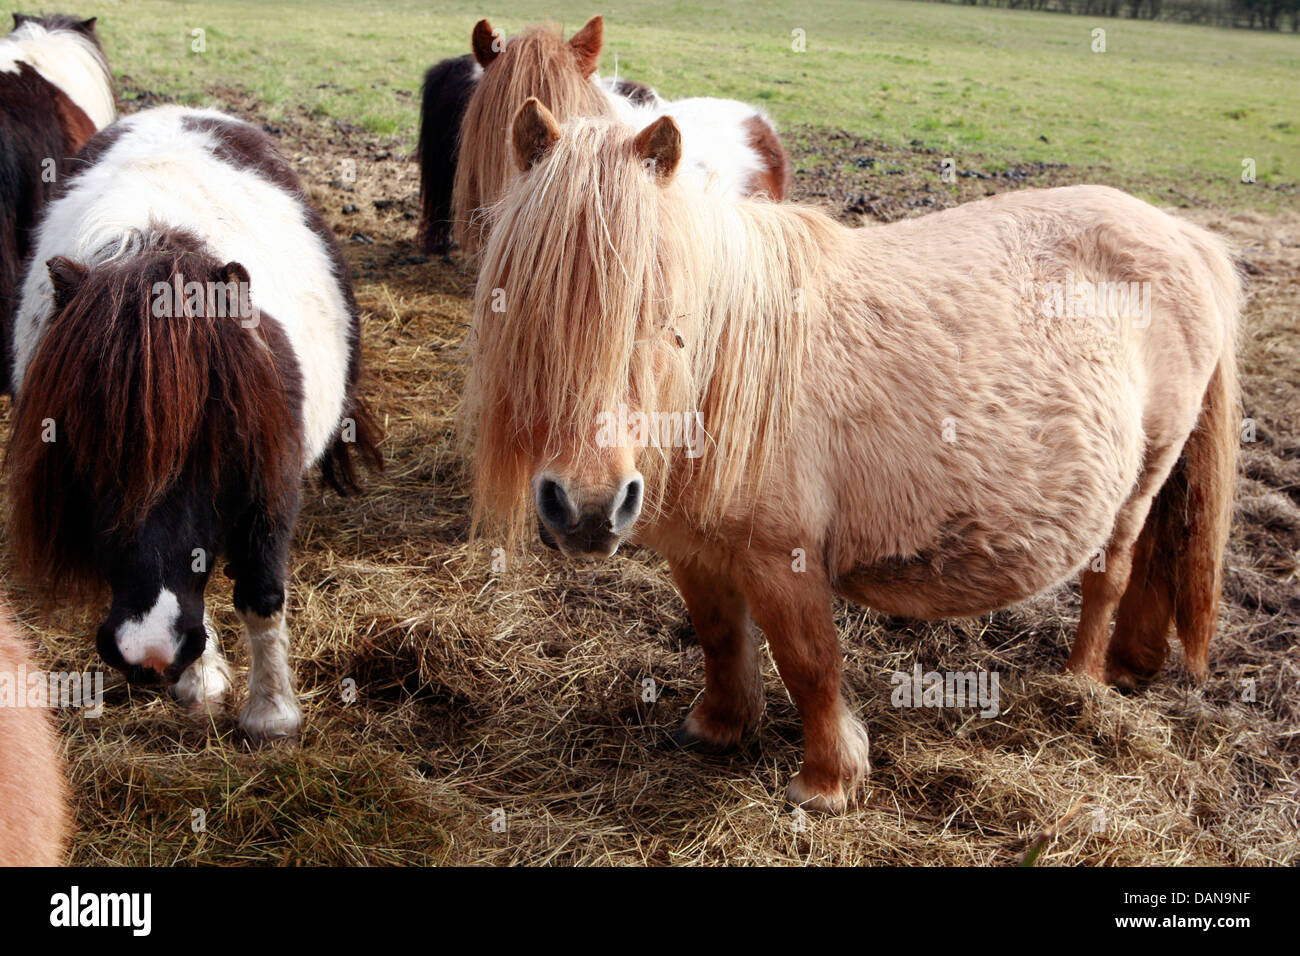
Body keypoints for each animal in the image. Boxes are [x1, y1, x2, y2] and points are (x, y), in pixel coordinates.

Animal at [6, 108, 379, 743]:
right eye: (79, 443)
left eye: (222, 442)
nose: (149, 649)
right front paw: (204, 682)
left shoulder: (271, 483)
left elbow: (260, 592)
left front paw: (272, 716)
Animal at [465, 98, 1237, 816]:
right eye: (527, 304)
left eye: (661, 315)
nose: (587, 508)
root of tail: (1185, 235)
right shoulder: (695, 550)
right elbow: (718, 636)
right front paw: (716, 727)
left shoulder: (783, 559)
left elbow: (808, 663)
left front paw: (826, 783)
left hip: (1142, 479)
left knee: (1111, 574)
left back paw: (1079, 684)